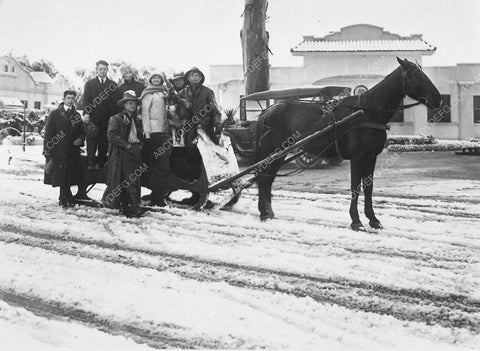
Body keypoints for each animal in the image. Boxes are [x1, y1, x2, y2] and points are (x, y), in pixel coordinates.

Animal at [255, 57, 442, 231]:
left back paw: (269, 212)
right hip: (271, 153)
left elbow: (368, 187)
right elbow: (355, 187)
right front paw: (356, 221)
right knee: (263, 178)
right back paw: (263, 213)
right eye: (416, 75)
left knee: (268, 179)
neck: (366, 112)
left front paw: (373, 219)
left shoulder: (371, 157)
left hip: (279, 155)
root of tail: (266, 112)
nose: (438, 99)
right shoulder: (357, 158)